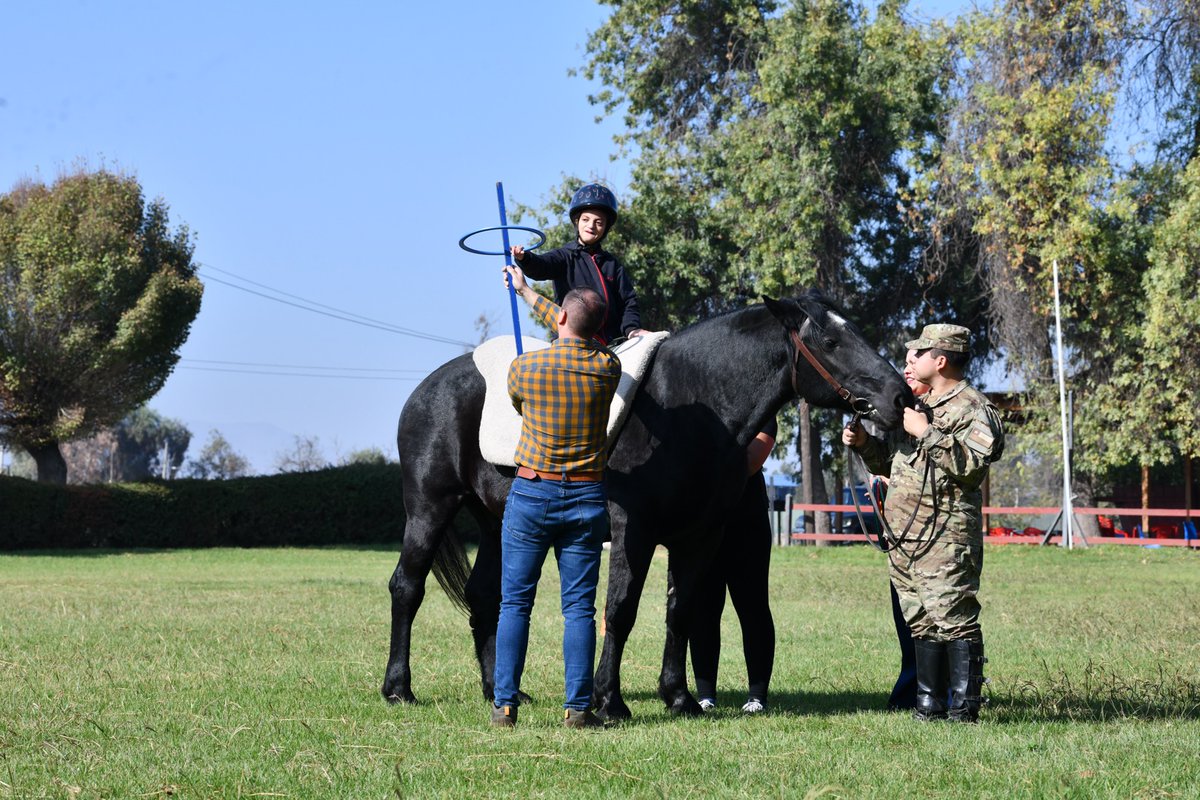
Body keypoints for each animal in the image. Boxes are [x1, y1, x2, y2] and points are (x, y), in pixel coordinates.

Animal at [384, 292, 907, 719]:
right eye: (831, 342)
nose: (899, 396)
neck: (692, 406)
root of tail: (425, 390)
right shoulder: (631, 531)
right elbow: (620, 610)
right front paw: (610, 701)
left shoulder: (698, 537)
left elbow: (681, 611)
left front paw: (679, 697)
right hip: (430, 509)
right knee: (407, 587)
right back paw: (398, 689)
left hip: (496, 523)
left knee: (482, 598)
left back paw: (498, 690)